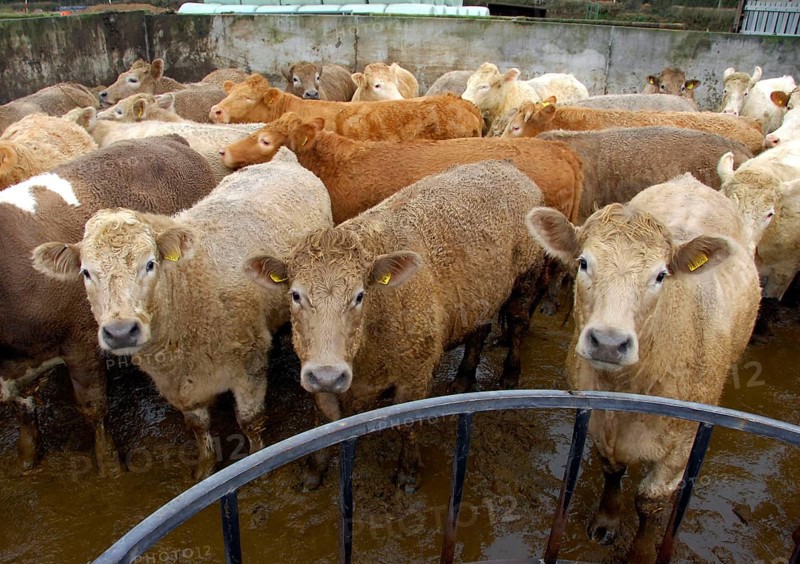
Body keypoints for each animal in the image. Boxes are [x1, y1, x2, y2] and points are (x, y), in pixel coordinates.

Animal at [0, 135, 216, 474]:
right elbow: (19, 406)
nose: (121, 331)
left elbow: (93, 407)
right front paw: (27, 455)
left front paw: (109, 463)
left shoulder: (80, 341)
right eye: (85, 272)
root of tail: (167, 138)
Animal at [32, 159, 332, 480]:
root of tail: (281, 160)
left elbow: (250, 421)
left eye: (150, 264)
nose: (121, 331)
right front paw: (206, 467)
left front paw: (257, 466)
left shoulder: (249, 366)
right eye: (86, 272)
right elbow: (198, 426)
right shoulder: (178, 383)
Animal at [245, 160, 547, 490]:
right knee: (478, 332)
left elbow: (407, 424)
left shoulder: (416, 374)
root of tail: (507, 166)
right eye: (295, 295)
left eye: (359, 296)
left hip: (526, 279)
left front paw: (407, 471)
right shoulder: (315, 374)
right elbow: (324, 420)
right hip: (479, 297)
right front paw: (314, 470)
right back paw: (463, 378)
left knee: (517, 325)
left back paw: (510, 374)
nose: (329, 374)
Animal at [526, 173, 760, 562]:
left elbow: (651, 503)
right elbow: (612, 472)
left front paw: (641, 552)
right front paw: (606, 521)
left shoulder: (681, 447)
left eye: (661, 275)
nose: (608, 342)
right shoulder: (598, 424)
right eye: (584, 263)